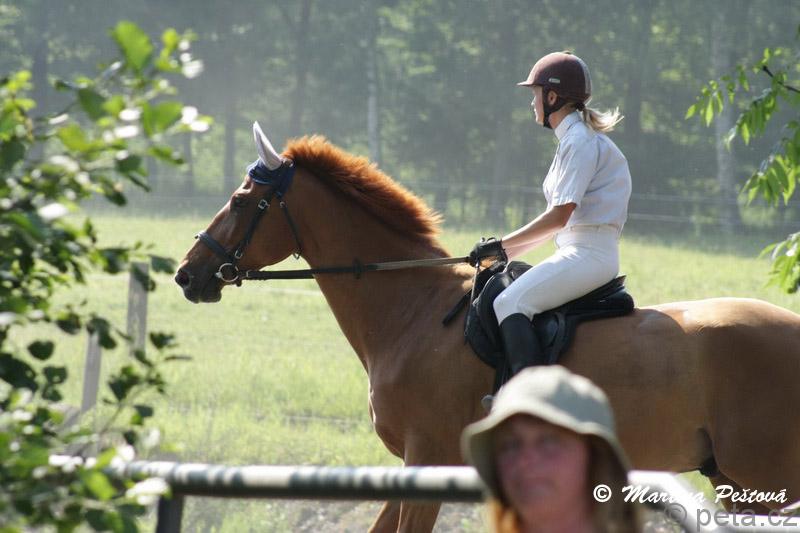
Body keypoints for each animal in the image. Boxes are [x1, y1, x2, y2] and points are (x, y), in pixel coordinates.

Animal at [175, 122, 800, 532]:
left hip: (762, 481)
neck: (413, 311)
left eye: (241, 200)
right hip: (738, 482)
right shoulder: (410, 468)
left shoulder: (427, 461)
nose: (187, 274)